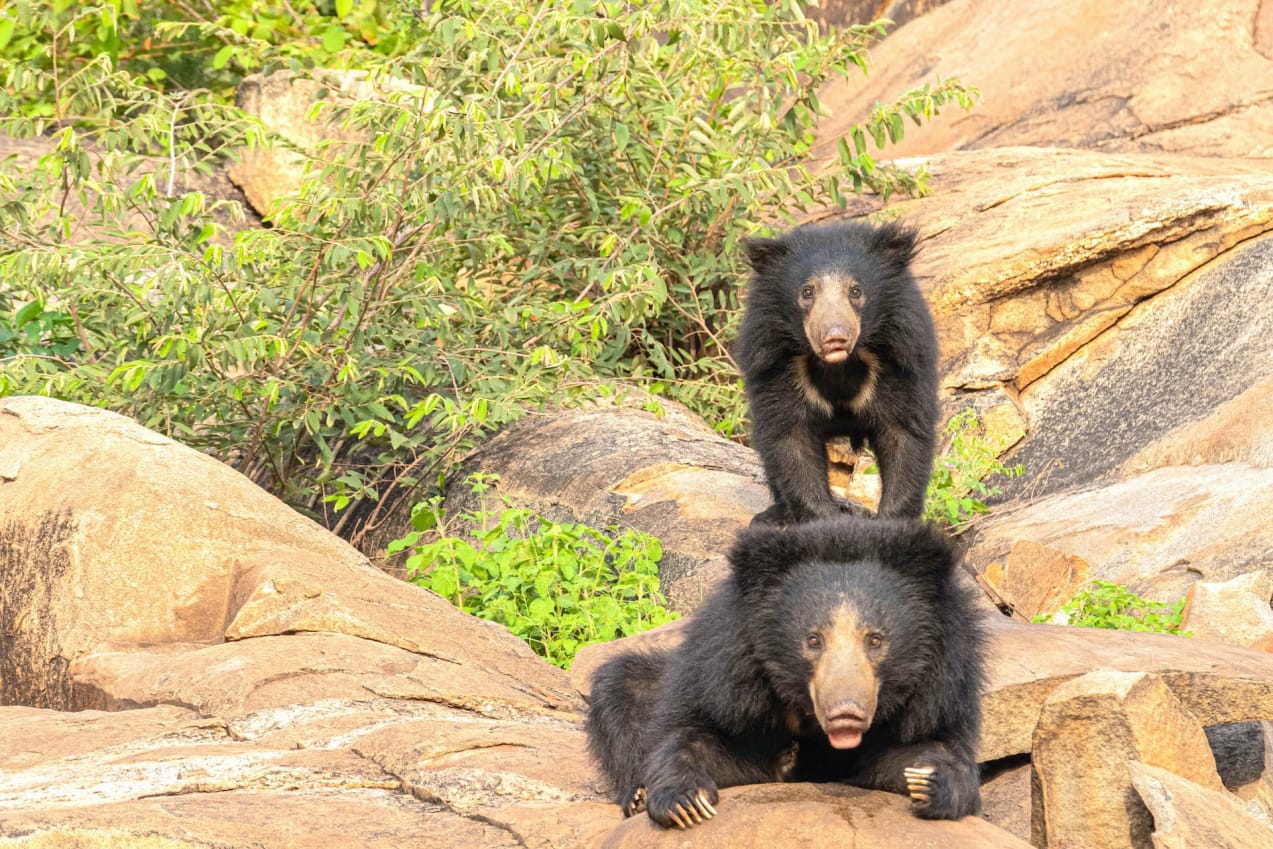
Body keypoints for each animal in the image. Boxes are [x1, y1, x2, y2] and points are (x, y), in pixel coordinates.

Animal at [586, 516, 985, 829]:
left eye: (875, 640)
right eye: (813, 640)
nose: (846, 713)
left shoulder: (940, 687)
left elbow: (922, 749)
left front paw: (929, 779)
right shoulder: (725, 676)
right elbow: (698, 738)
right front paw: (684, 801)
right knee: (621, 685)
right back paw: (637, 794)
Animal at [734, 220, 939, 524]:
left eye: (856, 291)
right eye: (807, 292)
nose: (835, 337)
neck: (839, 364)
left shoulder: (900, 355)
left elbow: (903, 433)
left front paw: (891, 522)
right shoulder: (776, 363)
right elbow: (791, 439)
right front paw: (824, 520)